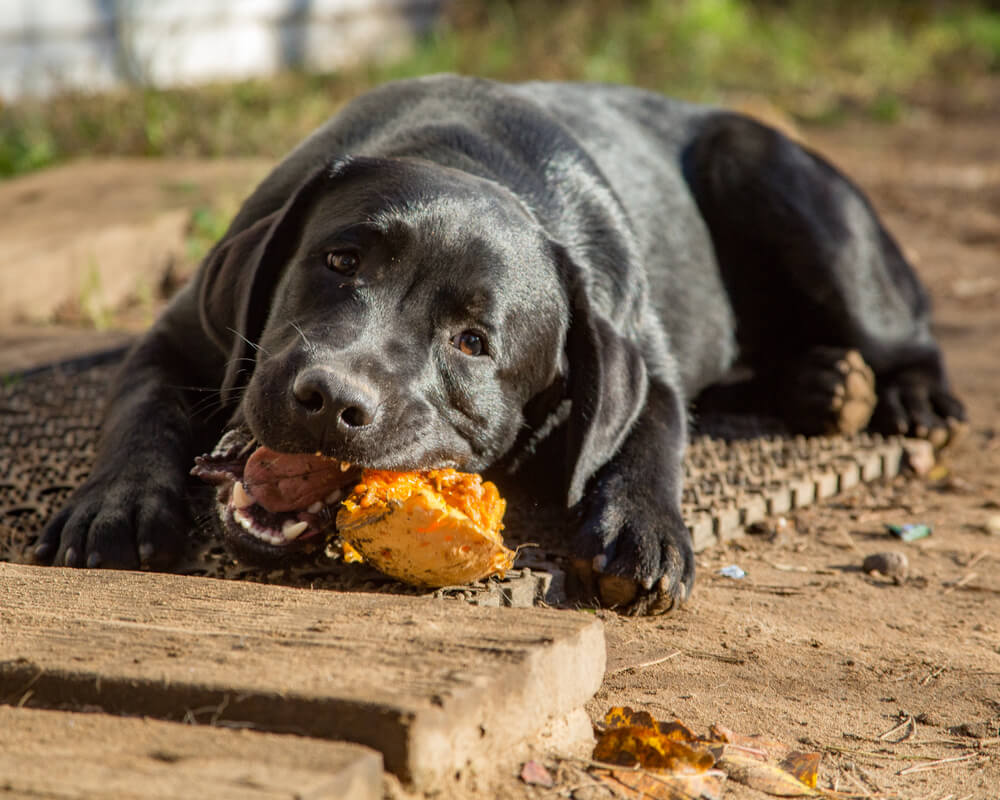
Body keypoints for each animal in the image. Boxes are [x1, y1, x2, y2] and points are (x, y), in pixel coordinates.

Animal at [35, 76, 964, 612]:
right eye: (340, 260)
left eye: (475, 341)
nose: (331, 399)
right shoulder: (177, 337)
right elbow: (142, 415)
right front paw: (116, 506)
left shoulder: (641, 366)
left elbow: (652, 441)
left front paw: (643, 531)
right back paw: (825, 384)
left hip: (773, 177)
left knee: (905, 332)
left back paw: (898, 391)